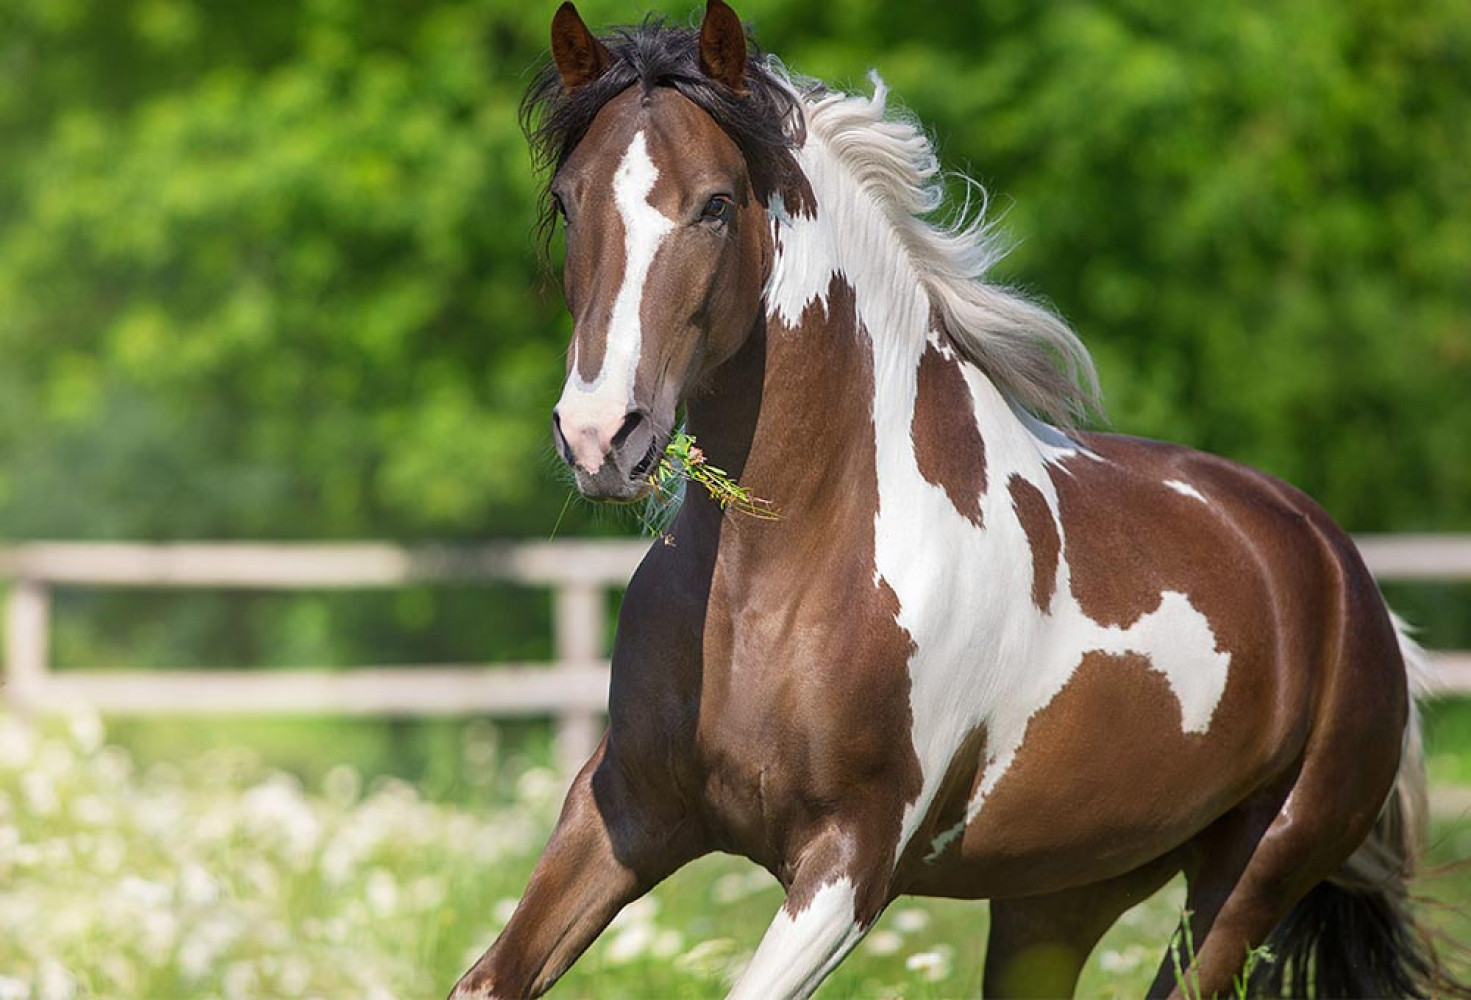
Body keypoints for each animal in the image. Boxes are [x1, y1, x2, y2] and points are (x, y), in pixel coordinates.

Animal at [450, 3, 1459, 994]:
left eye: (715, 203)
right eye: (567, 200)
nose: (599, 437)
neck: (782, 573)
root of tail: (1345, 579)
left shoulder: (850, 865)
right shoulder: (626, 809)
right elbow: (489, 978)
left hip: (1245, 886)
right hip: (1056, 897)